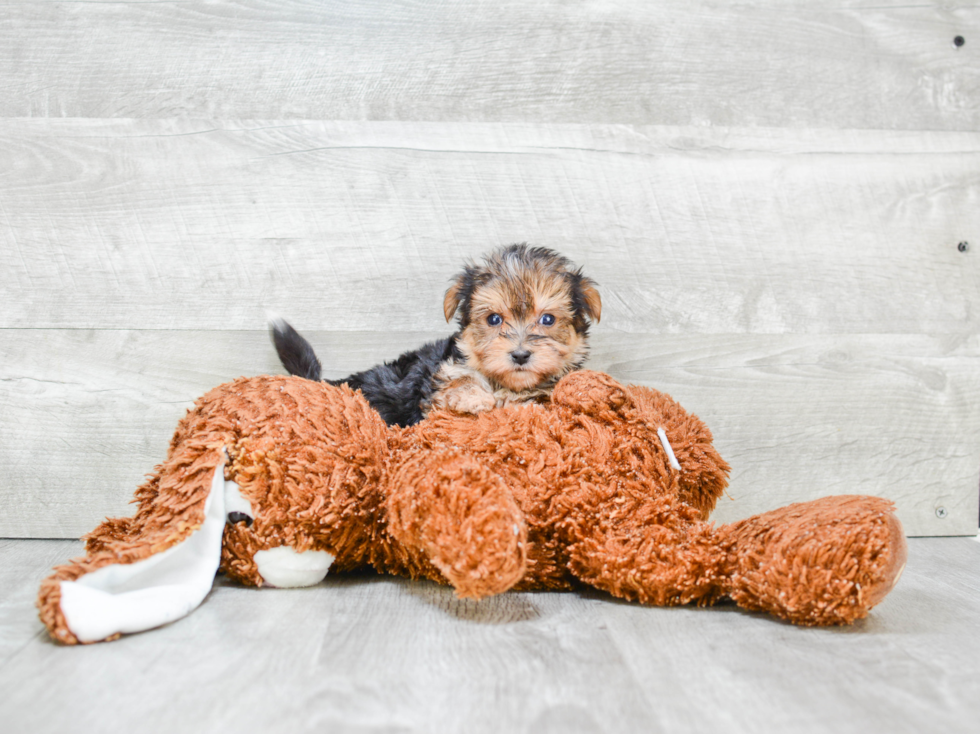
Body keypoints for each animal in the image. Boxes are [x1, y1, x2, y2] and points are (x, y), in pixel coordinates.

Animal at [272, 244, 600, 428]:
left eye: (547, 319)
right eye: (494, 319)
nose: (520, 355)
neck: (503, 384)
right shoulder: (439, 380)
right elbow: (459, 379)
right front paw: (475, 398)